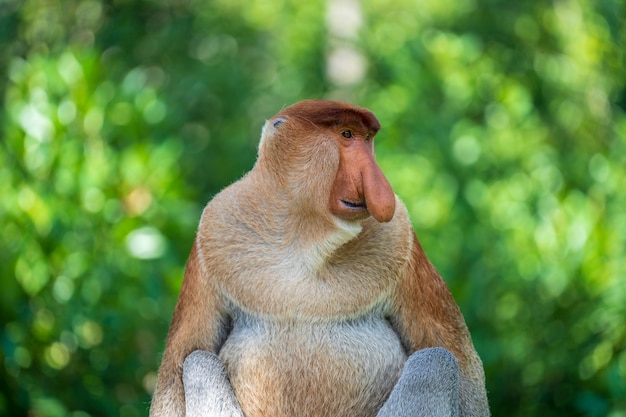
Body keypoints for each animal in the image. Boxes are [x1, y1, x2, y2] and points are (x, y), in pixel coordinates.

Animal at [150, 100, 488, 416]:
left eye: (367, 139)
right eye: (347, 134)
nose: (380, 188)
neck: (306, 235)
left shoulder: (401, 239)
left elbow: (457, 357)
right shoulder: (213, 231)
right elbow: (176, 368)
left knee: (436, 361)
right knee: (198, 362)